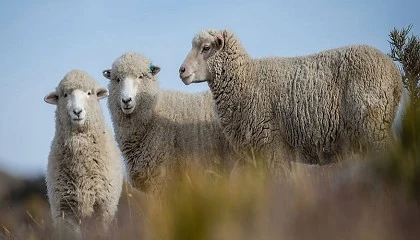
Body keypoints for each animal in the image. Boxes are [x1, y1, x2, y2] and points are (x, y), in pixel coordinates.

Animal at [178, 28, 404, 171]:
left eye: (206, 48)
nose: (181, 71)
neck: (247, 80)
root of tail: (395, 75)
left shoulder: (271, 146)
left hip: (373, 126)